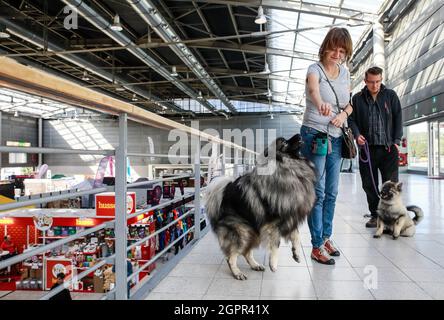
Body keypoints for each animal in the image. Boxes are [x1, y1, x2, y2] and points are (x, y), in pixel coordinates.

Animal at [205, 134, 316, 278]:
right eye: (284, 142)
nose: (299, 135)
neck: (288, 167)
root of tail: (222, 194)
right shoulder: (272, 223)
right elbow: (276, 243)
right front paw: (273, 264)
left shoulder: (290, 217)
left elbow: (296, 235)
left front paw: (296, 254)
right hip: (243, 232)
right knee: (231, 257)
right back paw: (237, 273)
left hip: (253, 232)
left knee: (246, 252)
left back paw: (255, 265)